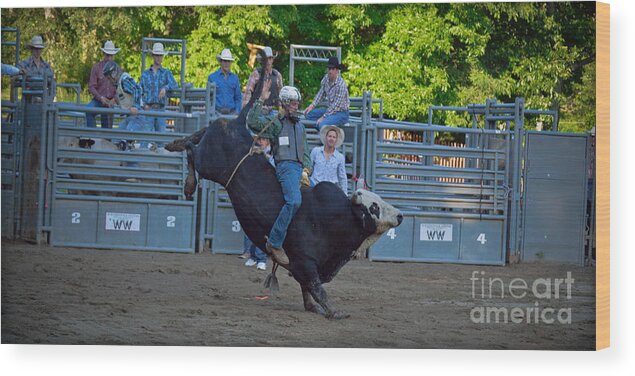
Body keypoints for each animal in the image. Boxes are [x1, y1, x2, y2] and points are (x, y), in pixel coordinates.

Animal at [165, 116, 402, 318]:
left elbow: (308, 288)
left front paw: (312, 307)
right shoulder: (305, 262)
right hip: (209, 163)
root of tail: (238, 122)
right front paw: (334, 311)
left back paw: (175, 143)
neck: (335, 220)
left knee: (198, 136)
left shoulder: (304, 266)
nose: (400, 215)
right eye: (374, 207)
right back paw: (188, 182)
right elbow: (317, 288)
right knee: (192, 151)